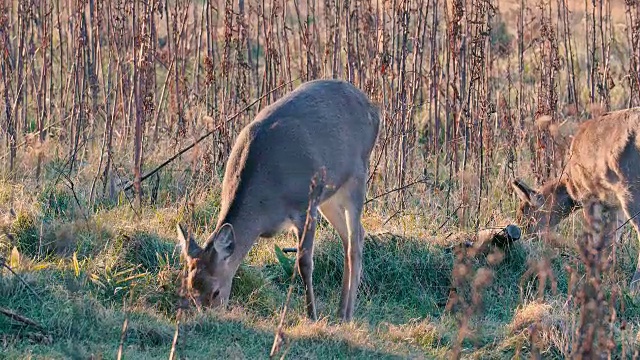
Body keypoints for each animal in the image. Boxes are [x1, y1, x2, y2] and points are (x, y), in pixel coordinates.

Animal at [175, 79, 380, 320]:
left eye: (216, 291)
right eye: (190, 290)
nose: (210, 317)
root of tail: (372, 108)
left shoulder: (304, 205)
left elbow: (304, 262)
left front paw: (311, 315)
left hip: (357, 176)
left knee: (355, 241)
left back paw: (347, 314)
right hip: (330, 194)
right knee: (352, 236)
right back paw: (340, 311)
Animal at [510, 106, 640, 290]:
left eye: (526, 218)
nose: (525, 240)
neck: (571, 183)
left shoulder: (589, 195)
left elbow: (596, 240)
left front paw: (593, 276)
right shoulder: (614, 204)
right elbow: (611, 240)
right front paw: (608, 277)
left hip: (630, 186)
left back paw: (634, 287)